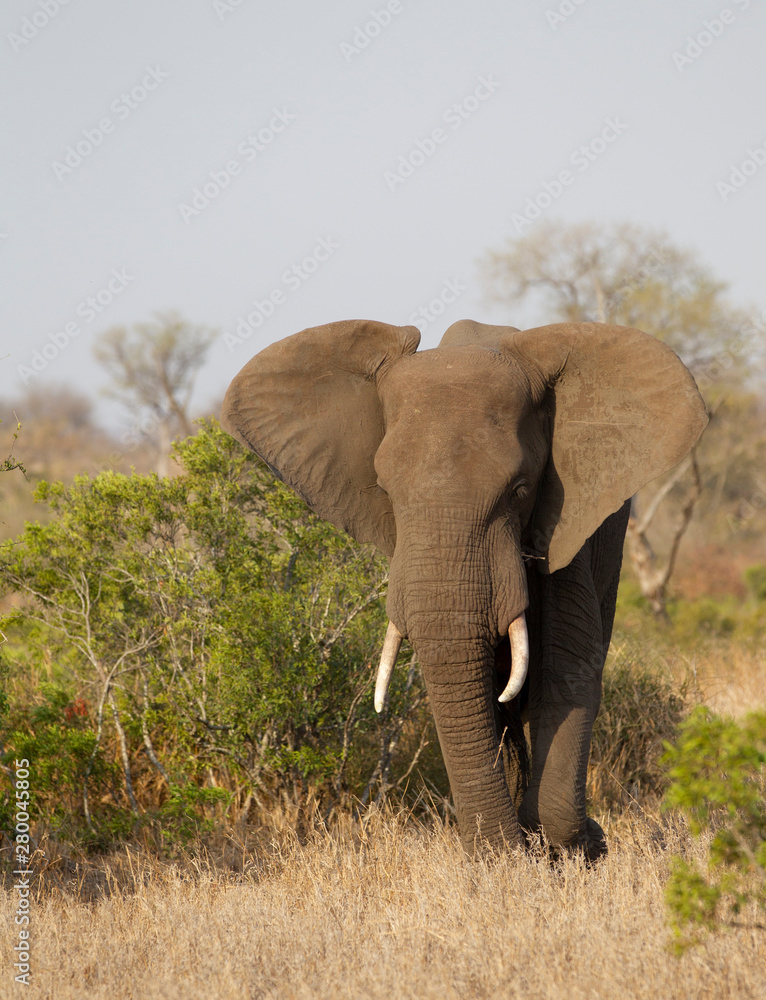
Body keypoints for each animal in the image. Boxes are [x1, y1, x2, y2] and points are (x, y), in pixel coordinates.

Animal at [221, 318, 707, 859]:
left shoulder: (567, 525)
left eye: (520, 490)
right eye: (385, 491)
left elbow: (566, 674)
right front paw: (518, 856)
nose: (499, 852)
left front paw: (575, 846)